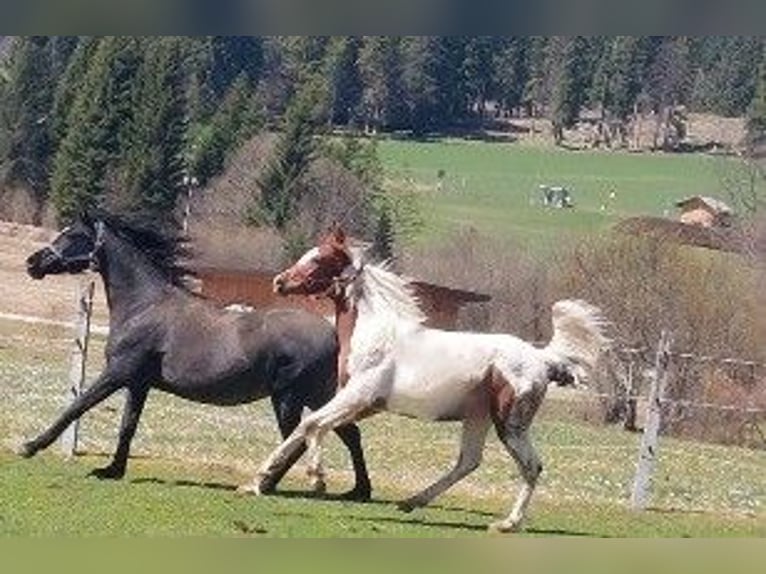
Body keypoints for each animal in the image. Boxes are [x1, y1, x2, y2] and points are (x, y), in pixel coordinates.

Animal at [21, 212, 371, 500]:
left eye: (71, 235)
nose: (32, 263)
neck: (143, 306)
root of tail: (332, 335)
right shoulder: (139, 383)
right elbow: (127, 425)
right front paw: (112, 470)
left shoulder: (117, 373)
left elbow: (76, 407)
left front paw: (30, 446)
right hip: (311, 396)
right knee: (347, 433)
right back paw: (358, 491)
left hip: (290, 397)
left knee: (297, 440)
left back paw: (266, 485)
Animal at [242, 227, 609, 532]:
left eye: (318, 259)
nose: (279, 282)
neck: (374, 333)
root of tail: (541, 358)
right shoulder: (357, 403)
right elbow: (310, 429)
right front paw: (257, 481)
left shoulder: (358, 397)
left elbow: (311, 425)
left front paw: (315, 478)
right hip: (478, 417)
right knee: (468, 462)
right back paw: (412, 501)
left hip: (510, 423)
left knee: (531, 466)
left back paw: (508, 523)